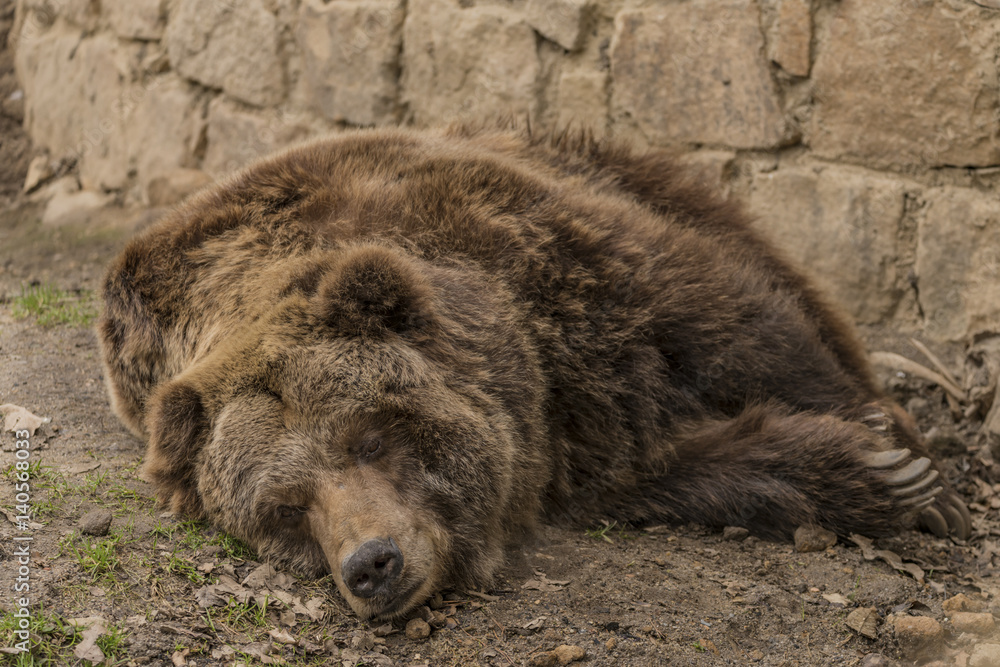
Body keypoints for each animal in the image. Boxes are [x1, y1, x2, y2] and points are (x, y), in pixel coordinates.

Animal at [99, 124, 971, 621]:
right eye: (283, 509)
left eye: (370, 437)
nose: (371, 563)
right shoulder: (574, 441)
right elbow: (674, 470)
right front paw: (871, 470)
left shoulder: (559, 258)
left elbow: (733, 319)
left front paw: (901, 454)